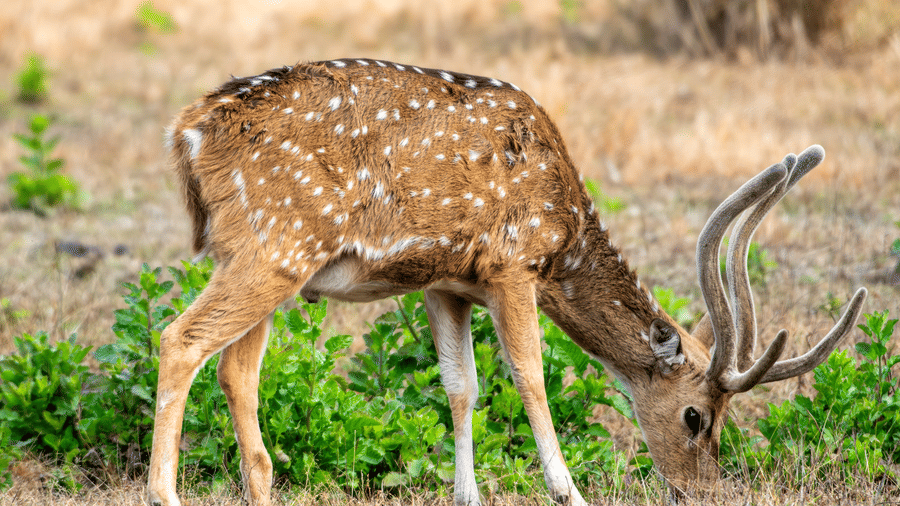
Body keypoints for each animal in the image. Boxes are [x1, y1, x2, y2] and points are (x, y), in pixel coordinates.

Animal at [148, 58, 867, 506]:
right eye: (697, 416)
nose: (701, 489)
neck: (563, 236)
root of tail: (185, 134)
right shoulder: (512, 265)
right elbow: (529, 375)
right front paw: (569, 490)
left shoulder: (444, 282)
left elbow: (460, 386)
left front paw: (465, 494)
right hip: (275, 243)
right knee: (180, 339)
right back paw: (164, 491)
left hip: (264, 257)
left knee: (234, 369)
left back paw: (258, 488)